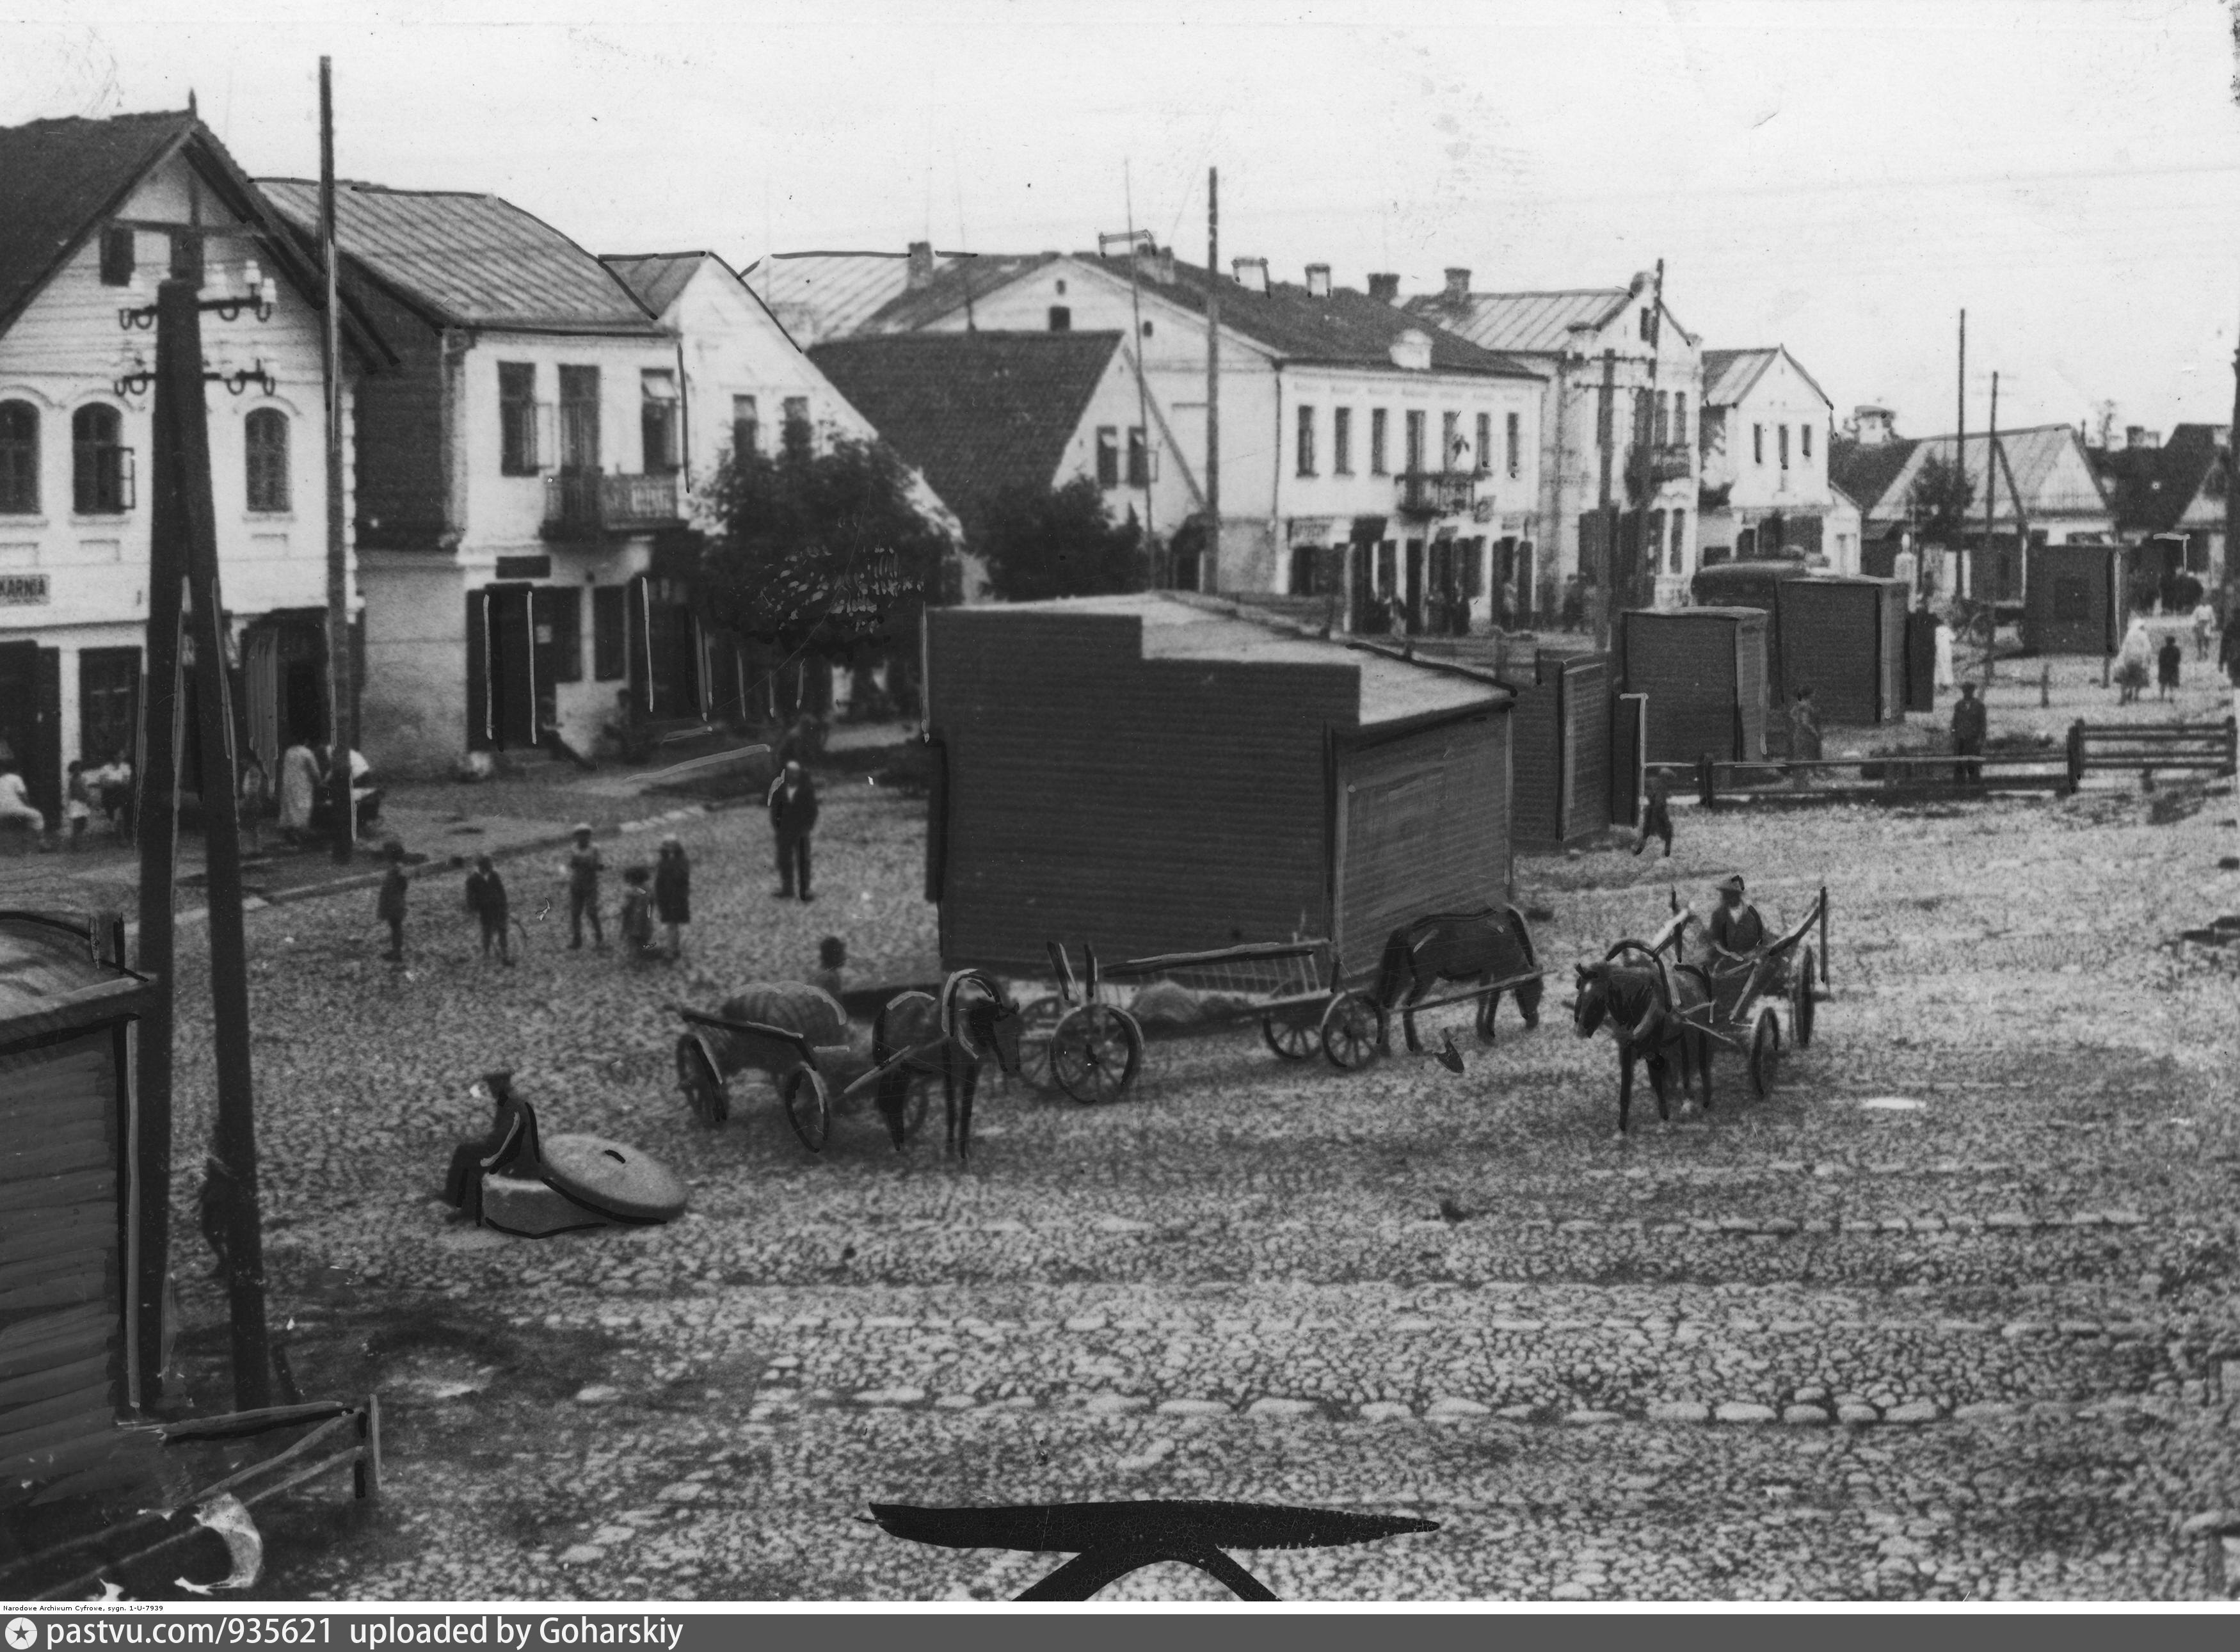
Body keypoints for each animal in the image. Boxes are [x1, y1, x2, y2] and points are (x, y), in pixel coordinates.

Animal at [1362, 901, 1541, 1057]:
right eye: (1532, 991)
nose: (1532, 1022)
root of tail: (1406, 931)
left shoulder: (1489, 972)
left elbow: (1484, 998)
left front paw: (1482, 1030)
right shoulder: (1498, 971)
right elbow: (1494, 997)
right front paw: (1489, 1031)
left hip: (1404, 978)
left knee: (1391, 1005)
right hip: (1423, 981)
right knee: (1407, 1006)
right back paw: (1415, 1047)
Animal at [1577, 954, 1711, 1134]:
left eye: (1594, 998)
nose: (1581, 1031)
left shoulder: (1652, 1052)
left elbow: (1641, 1085)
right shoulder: (1630, 1049)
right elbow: (1629, 1085)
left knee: (1696, 1072)